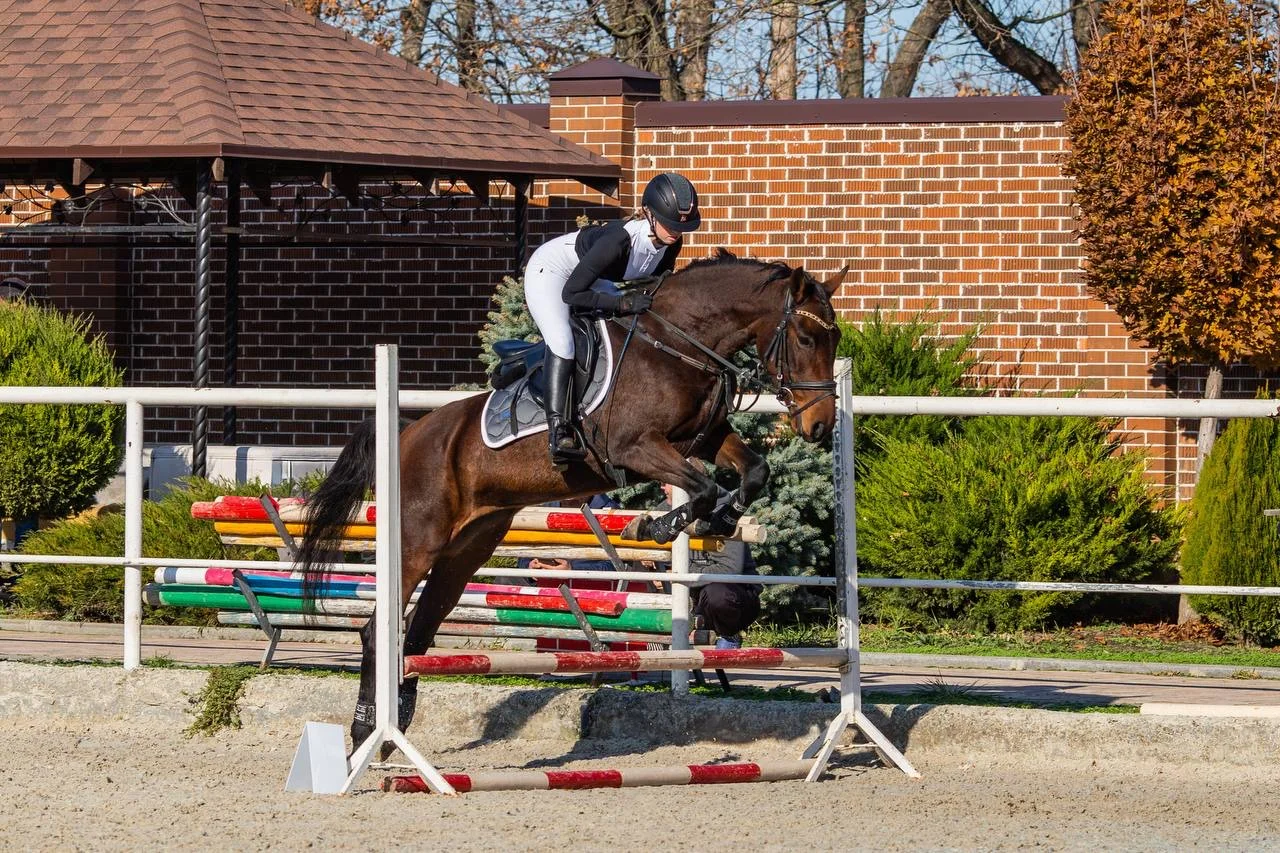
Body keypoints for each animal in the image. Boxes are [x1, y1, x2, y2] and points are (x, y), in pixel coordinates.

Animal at [297, 250, 847, 748]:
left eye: (835, 339)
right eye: (805, 338)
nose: (820, 426)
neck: (677, 344)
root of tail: (408, 434)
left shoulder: (703, 439)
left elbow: (754, 470)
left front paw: (721, 520)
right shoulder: (635, 447)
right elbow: (704, 485)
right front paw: (655, 527)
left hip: (465, 550)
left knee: (418, 630)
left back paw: (397, 726)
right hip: (417, 542)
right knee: (378, 630)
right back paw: (366, 730)